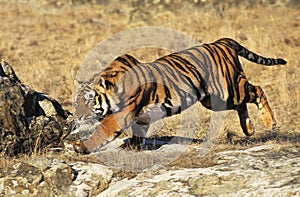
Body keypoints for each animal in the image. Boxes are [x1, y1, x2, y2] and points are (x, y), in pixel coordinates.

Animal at [71, 37, 286, 153]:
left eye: (89, 101)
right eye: (75, 103)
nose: (77, 117)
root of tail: (221, 42)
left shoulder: (122, 114)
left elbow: (102, 130)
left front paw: (80, 146)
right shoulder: (140, 116)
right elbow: (138, 132)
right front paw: (132, 146)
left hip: (230, 90)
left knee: (258, 89)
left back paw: (270, 123)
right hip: (215, 100)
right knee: (243, 104)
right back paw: (249, 129)